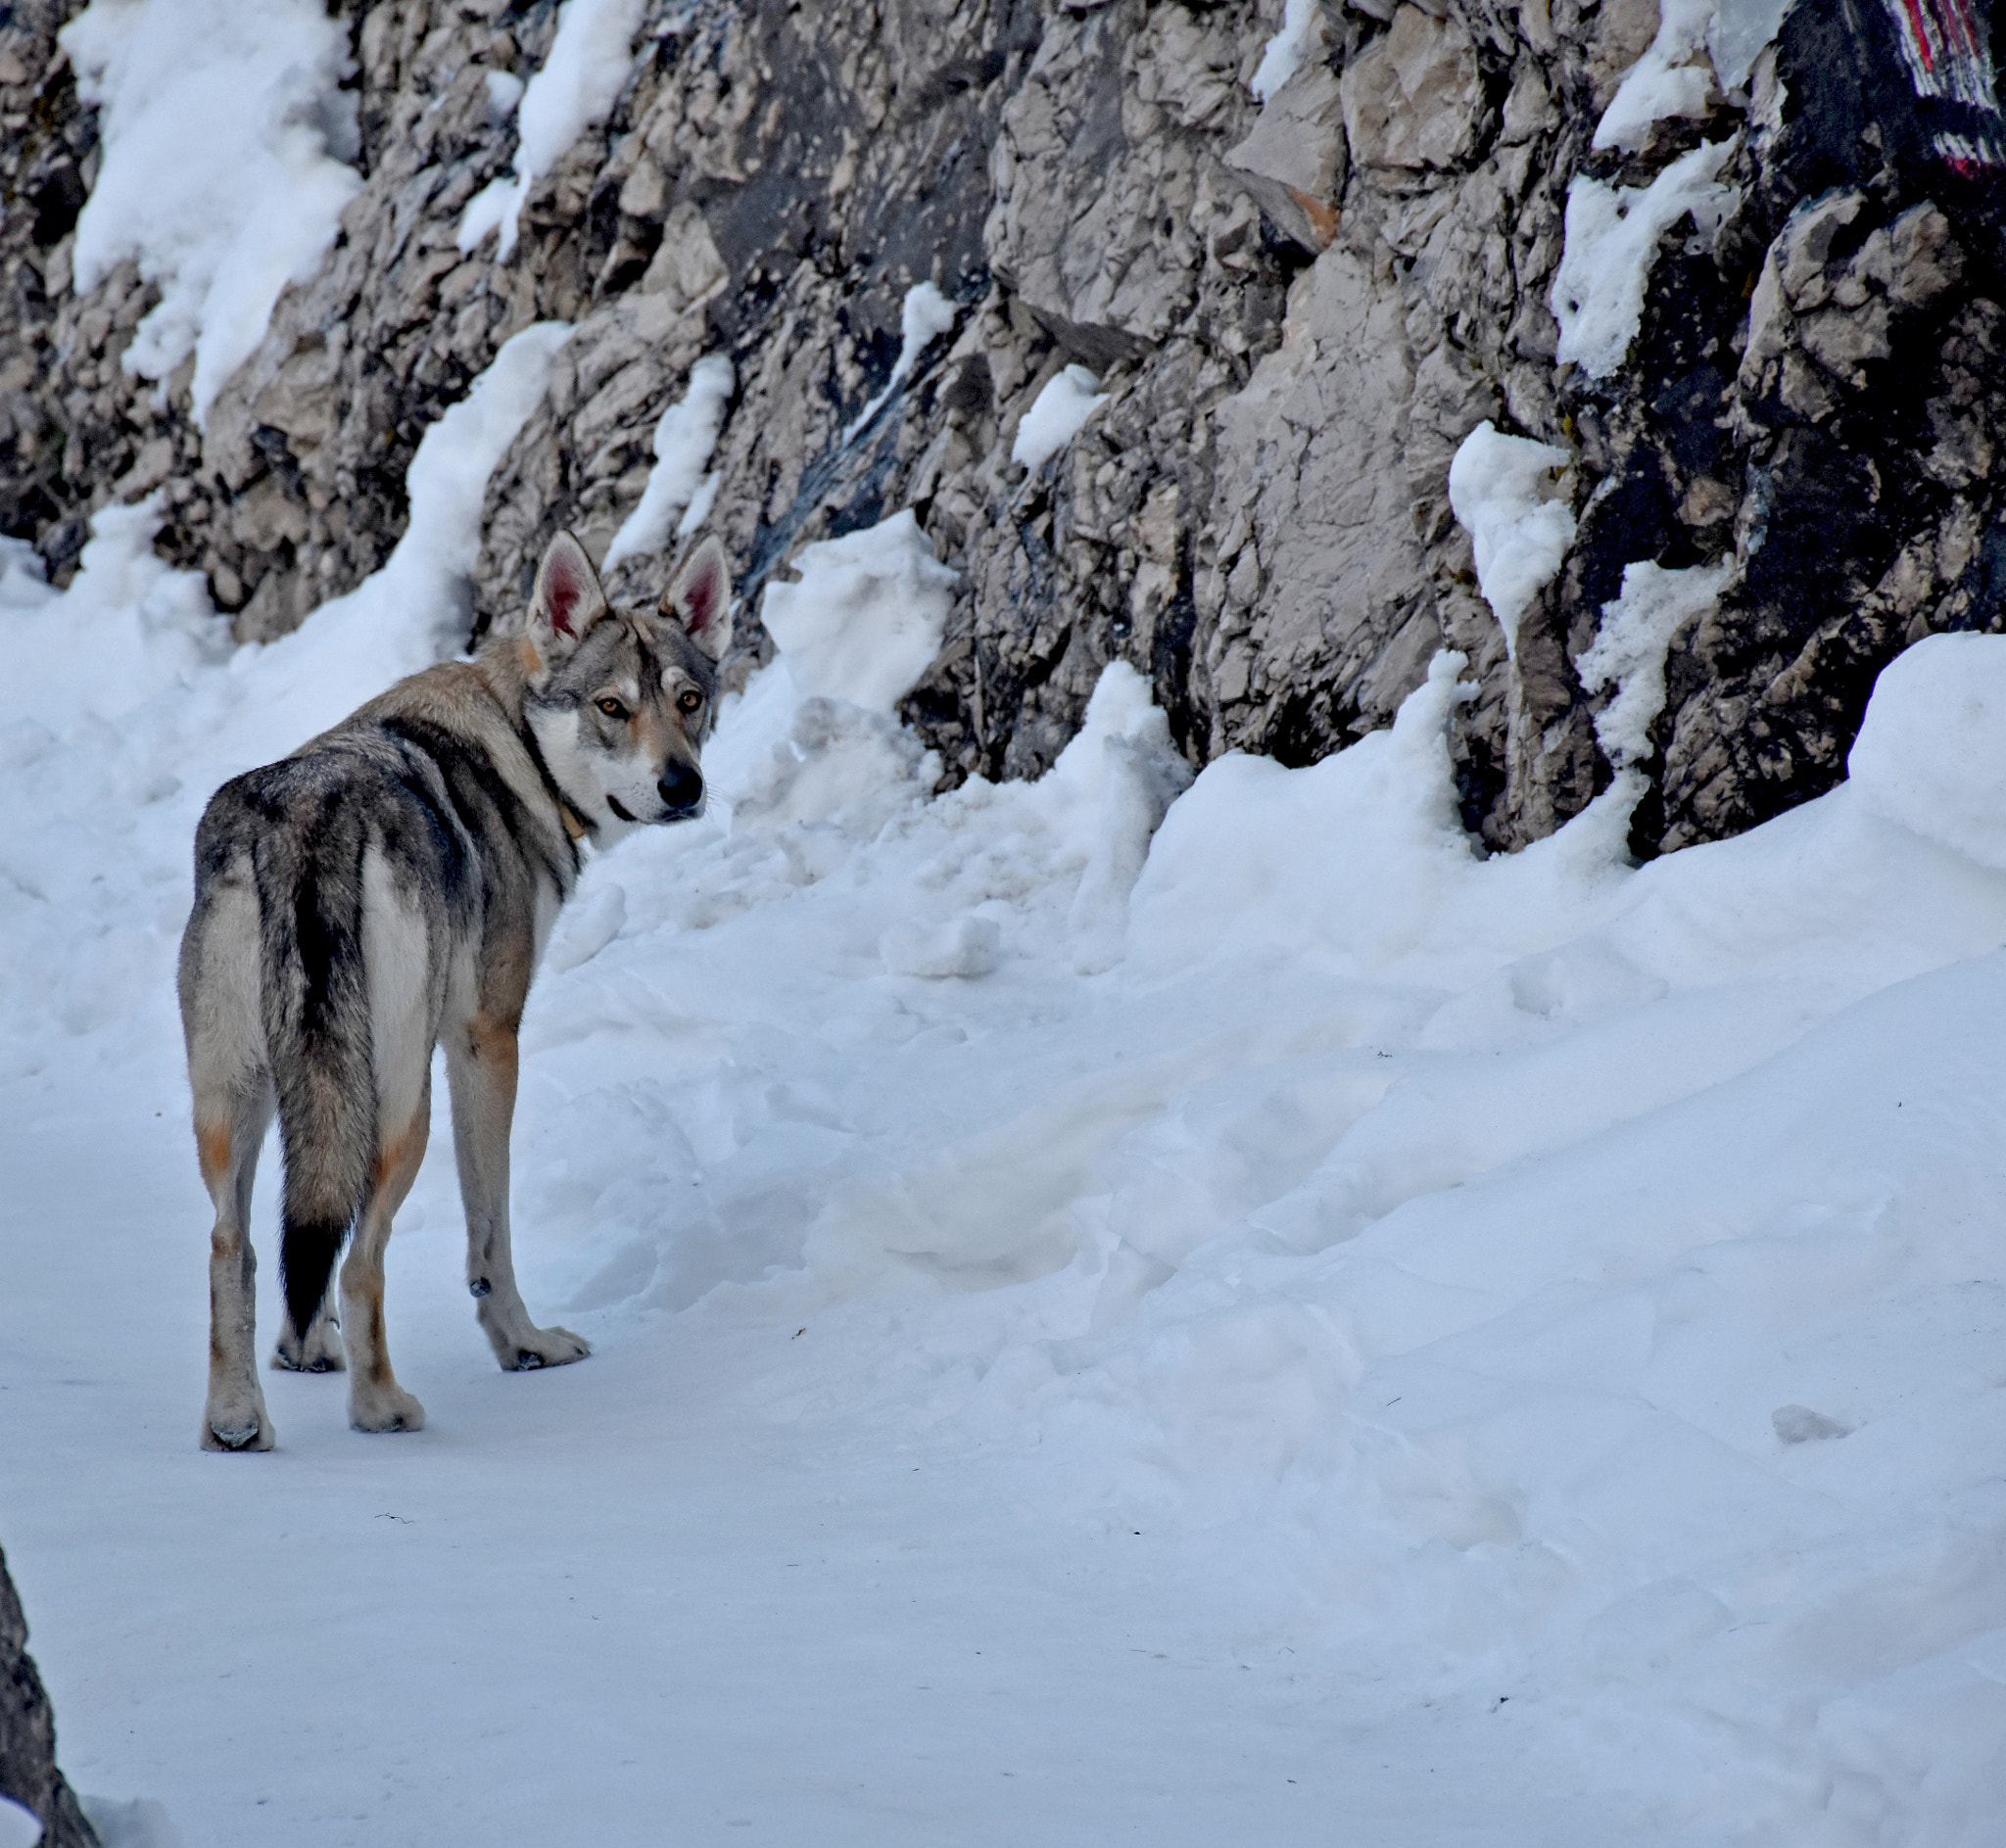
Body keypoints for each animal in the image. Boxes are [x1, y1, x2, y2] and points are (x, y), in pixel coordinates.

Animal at [178, 525, 730, 1452]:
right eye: (612, 707)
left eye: (689, 700)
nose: (683, 786)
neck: (519, 752)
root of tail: (311, 817)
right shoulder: (486, 1040)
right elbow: (490, 1234)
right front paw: (526, 1345)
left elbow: (301, 1241)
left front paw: (304, 1350)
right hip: (405, 1107)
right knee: (362, 1259)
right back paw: (381, 1407)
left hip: (242, 1099)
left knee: (233, 1245)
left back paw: (235, 1419)